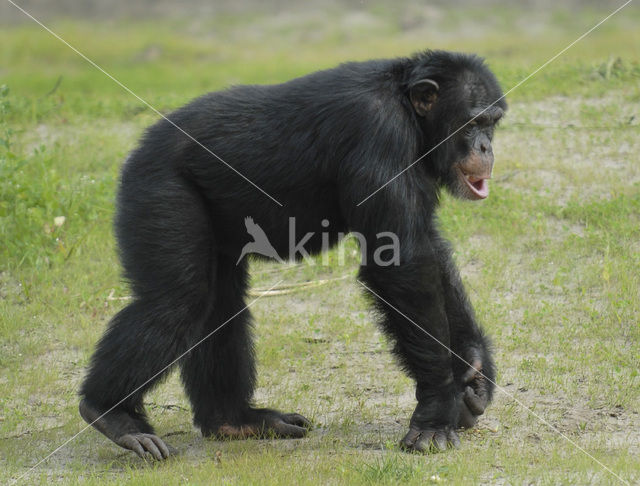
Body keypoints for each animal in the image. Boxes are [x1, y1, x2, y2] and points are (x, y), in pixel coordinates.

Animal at [79, 49, 504, 460]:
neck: (409, 111)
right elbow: (403, 264)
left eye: (493, 123)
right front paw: (436, 409)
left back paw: (235, 420)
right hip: (160, 190)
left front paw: (473, 368)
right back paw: (112, 414)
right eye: (472, 123)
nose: (486, 147)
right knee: (177, 302)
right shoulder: (381, 134)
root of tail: (139, 147)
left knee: (220, 307)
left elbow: (426, 249)